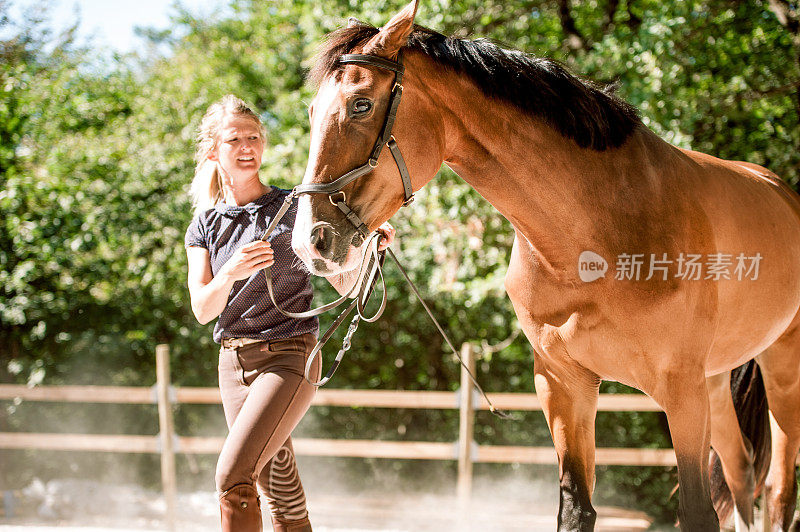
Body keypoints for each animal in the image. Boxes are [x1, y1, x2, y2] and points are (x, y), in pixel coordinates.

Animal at [290, 2, 800, 528]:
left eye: (361, 105)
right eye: (311, 111)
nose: (311, 241)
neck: (594, 235)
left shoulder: (682, 392)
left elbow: (698, 512)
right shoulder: (563, 386)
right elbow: (576, 508)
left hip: (782, 373)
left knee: (780, 492)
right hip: (716, 384)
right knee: (742, 474)